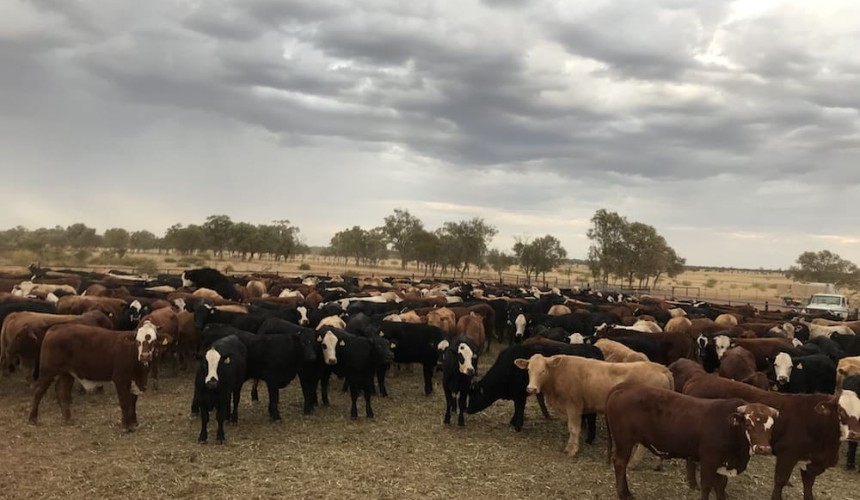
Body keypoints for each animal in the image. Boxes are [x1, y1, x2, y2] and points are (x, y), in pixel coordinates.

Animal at [28, 323, 157, 431]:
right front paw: (125, 426)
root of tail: (55, 328)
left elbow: (133, 402)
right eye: (138, 341)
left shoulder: (136, 381)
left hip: (67, 373)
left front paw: (134, 423)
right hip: (47, 371)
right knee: (38, 391)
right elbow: (125, 402)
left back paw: (68, 419)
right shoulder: (120, 379)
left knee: (62, 392)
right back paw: (32, 419)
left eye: (154, 341)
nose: (145, 356)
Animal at [513, 354, 674, 457]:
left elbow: (573, 429)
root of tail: (661, 368)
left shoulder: (573, 406)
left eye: (543, 370)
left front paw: (571, 450)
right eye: (529, 370)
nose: (531, 388)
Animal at [605, 382, 779, 500]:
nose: (763, 448)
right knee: (620, 463)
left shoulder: (723, 466)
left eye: (771, 426)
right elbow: (706, 486)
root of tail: (625, 386)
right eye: (748, 424)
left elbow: (721, 487)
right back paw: (624, 493)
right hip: (624, 441)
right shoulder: (708, 462)